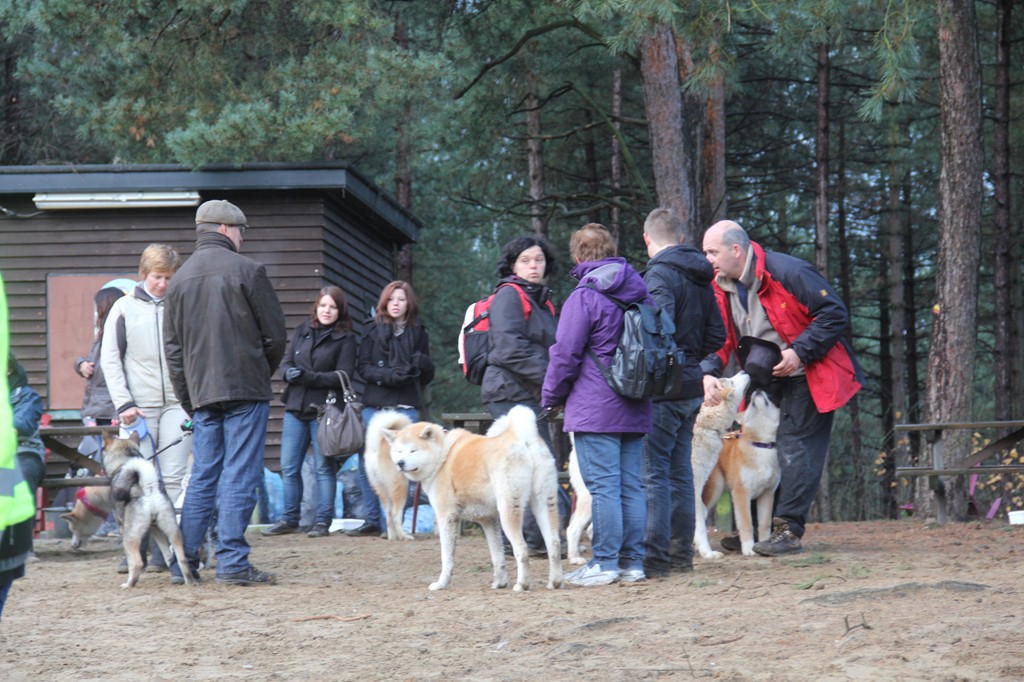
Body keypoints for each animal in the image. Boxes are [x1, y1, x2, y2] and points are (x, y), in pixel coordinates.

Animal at [103, 432, 197, 585]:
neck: (124, 461)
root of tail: (149, 488)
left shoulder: (123, 527)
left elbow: (132, 560)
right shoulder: (155, 529)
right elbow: (167, 553)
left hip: (129, 537)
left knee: (137, 562)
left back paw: (129, 584)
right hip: (172, 530)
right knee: (181, 559)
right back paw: (189, 581)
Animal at [382, 403, 565, 589]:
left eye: (413, 450)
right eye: (399, 451)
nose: (400, 463)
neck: (442, 454)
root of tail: (522, 437)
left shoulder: (447, 517)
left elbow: (446, 557)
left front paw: (441, 584)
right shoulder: (488, 520)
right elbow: (497, 556)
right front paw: (500, 583)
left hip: (509, 510)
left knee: (521, 548)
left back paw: (522, 584)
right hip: (544, 503)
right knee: (554, 544)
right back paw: (555, 582)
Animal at [700, 387, 778, 552]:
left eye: (771, 401)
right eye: (748, 407)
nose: (758, 389)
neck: (760, 446)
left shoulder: (767, 493)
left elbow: (764, 524)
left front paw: (765, 544)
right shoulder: (741, 493)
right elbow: (746, 523)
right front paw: (749, 548)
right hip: (714, 488)